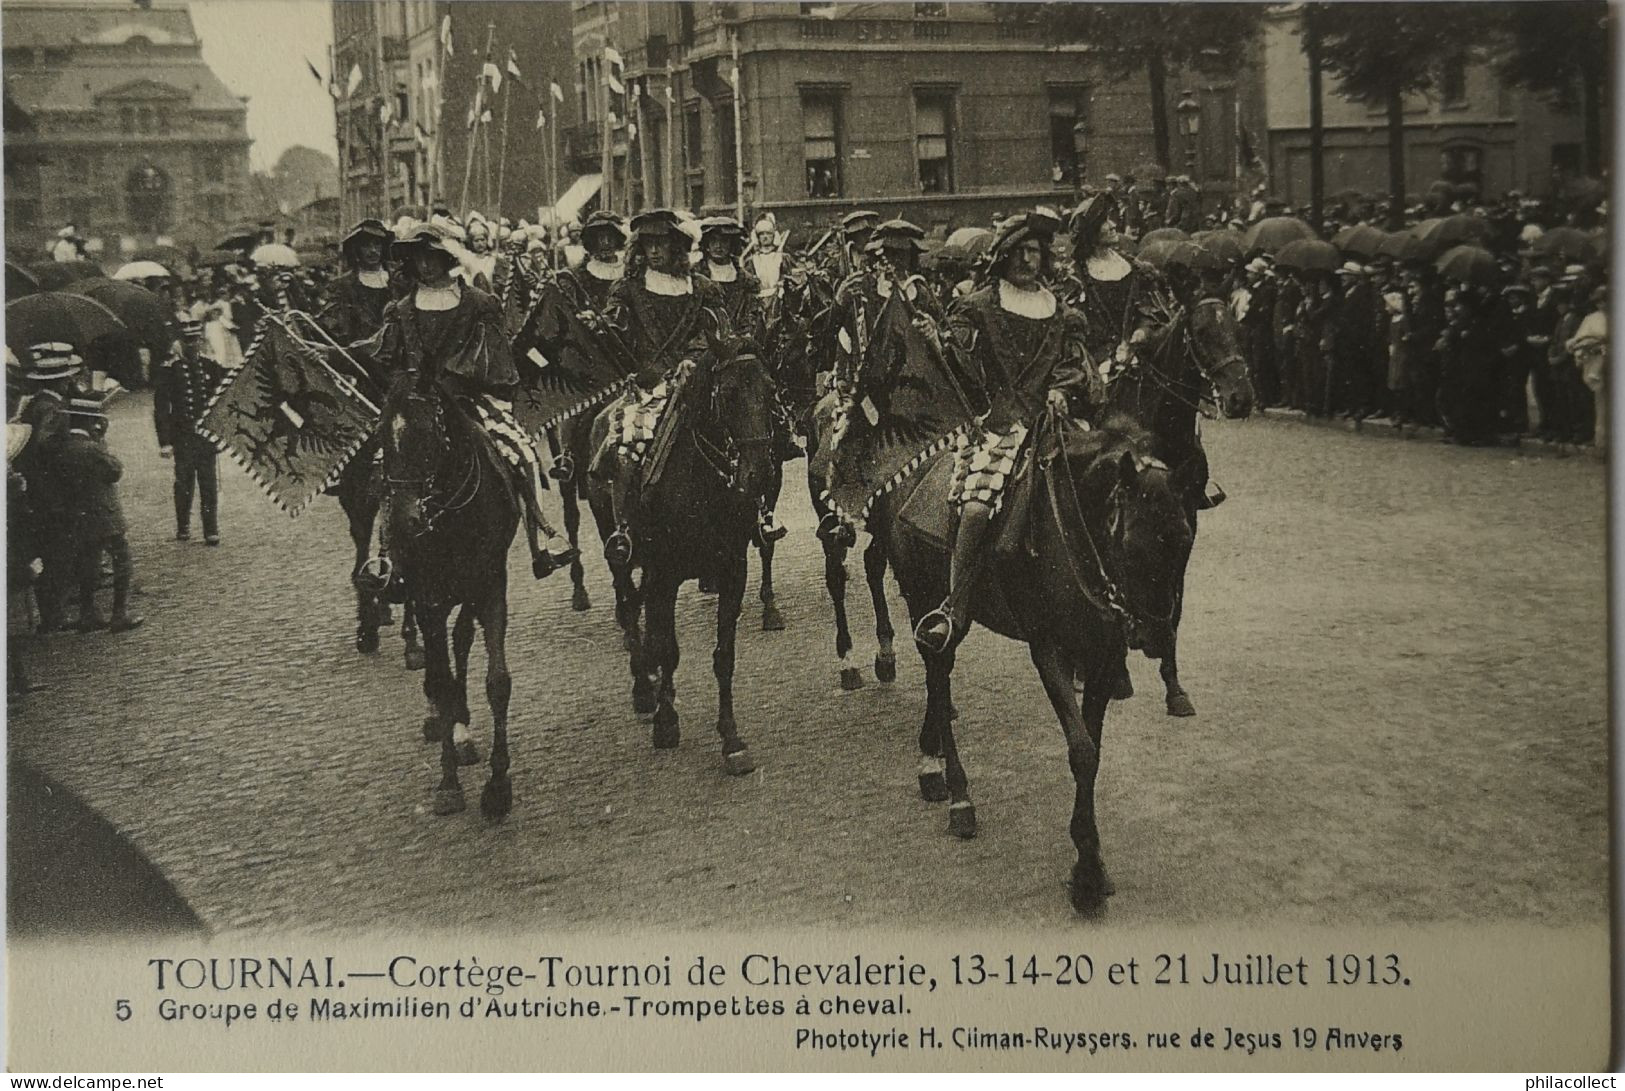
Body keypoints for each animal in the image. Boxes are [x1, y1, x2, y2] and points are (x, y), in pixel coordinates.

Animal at [380, 370, 520, 816]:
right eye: (382, 437)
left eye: (429, 435)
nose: (403, 522)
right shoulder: (429, 597)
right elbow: (440, 680)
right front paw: (448, 783)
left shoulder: (491, 586)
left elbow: (497, 680)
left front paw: (498, 785)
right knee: (436, 659)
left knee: (460, 640)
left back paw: (461, 727)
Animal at [585, 336, 780, 773]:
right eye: (728, 394)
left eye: (770, 390)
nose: (760, 474)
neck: (701, 487)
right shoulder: (665, 575)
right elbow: (668, 649)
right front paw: (666, 721)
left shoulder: (732, 571)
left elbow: (723, 656)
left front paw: (731, 738)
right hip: (619, 549)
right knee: (630, 607)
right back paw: (644, 687)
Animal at [877, 414, 1196, 917]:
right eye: (1132, 542)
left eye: (1184, 540)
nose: (1157, 636)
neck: (1074, 536)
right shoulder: (1050, 650)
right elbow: (1081, 750)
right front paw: (1086, 876)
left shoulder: (1104, 657)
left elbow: (1093, 750)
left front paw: (1092, 860)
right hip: (922, 595)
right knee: (938, 677)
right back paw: (959, 797)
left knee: (938, 678)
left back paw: (932, 764)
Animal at [1105, 289, 1254, 715]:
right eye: (1201, 333)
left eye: (1239, 329)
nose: (1241, 398)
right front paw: (1118, 675)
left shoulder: (1185, 526)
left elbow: (1175, 606)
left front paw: (1174, 687)